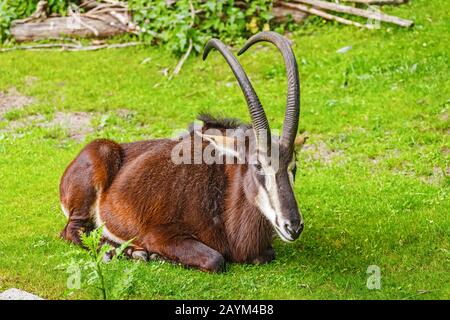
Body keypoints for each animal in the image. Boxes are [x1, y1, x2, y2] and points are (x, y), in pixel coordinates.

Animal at [59, 31, 304, 272]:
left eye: (294, 167)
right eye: (258, 164)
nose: (293, 226)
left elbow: (266, 255)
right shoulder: (160, 234)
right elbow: (215, 259)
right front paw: (156, 255)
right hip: (95, 174)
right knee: (72, 230)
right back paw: (125, 252)